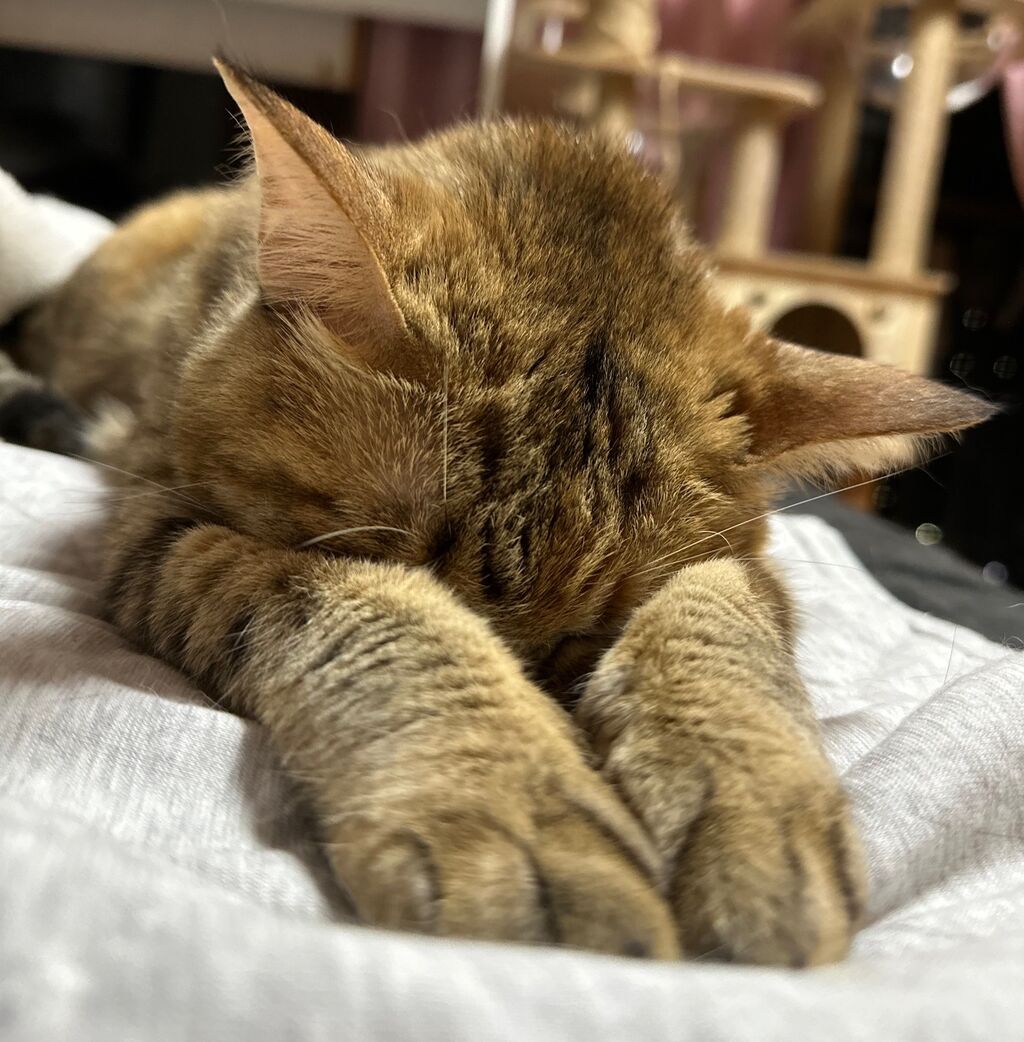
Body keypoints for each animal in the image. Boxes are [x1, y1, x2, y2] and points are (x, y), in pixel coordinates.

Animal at [0, 59, 992, 964]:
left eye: (581, 647)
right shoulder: (160, 517)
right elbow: (379, 615)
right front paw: (512, 797)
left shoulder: (748, 571)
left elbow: (722, 621)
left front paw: (751, 796)